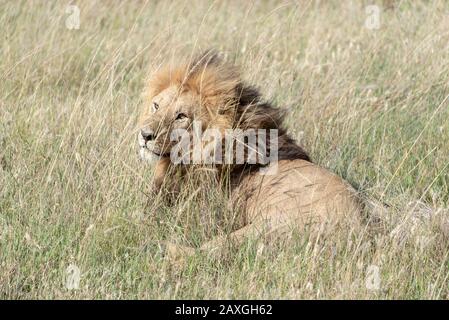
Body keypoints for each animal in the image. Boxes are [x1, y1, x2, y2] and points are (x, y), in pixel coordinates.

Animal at [138, 52, 362, 264]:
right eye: (156, 106)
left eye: (181, 116)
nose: (145, 135)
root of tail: (362, 230)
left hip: (265, 228)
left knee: (208, 251)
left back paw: (157, 247)